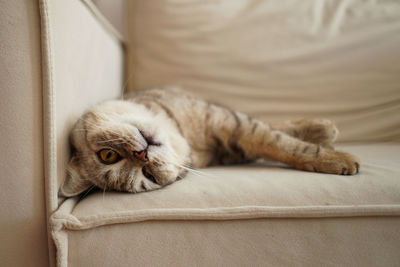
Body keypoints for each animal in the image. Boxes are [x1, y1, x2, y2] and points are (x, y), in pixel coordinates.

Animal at [59, 87, 360, 197]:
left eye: (107, 155)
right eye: (149, 176)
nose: (142, 156)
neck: (184, 136)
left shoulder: (228, 121)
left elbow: (277, 140)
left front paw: (331, 154)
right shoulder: (235, 145)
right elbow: (277, 142)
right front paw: (333, 157)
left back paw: (322, 127)